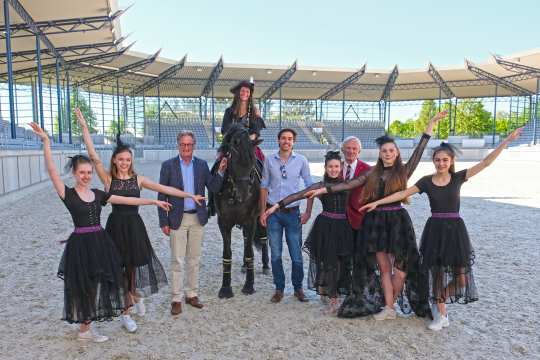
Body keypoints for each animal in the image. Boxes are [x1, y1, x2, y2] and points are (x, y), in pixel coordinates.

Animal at [215, 124, 266, 298]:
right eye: (232, 159)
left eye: (252, 161)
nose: (244, 194)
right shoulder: (223, 222)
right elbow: (227, 254)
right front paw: (225, 288)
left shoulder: (251, 220)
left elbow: (250, 252)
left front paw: (249, 285)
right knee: (245, 240)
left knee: (263, 239)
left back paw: (266, 266)